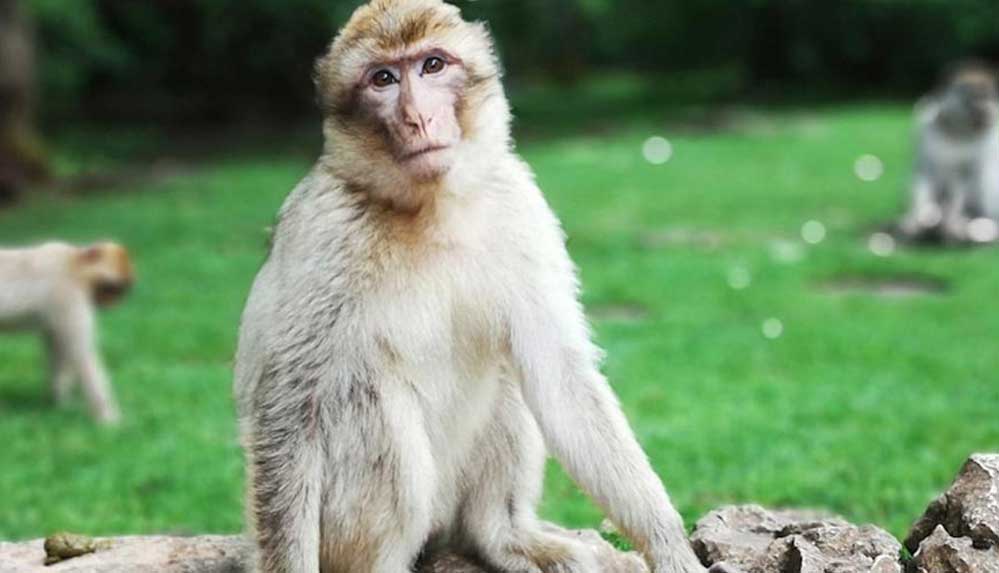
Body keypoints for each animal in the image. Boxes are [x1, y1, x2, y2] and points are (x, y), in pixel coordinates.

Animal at [0, 241, 133, 424]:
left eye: (120, 292)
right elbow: (81, 353)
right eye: (112, 289)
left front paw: (62, 404)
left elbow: (57, 346)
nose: (112, 304)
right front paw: (110, 419)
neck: (74, 263)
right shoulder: (67, 293)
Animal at [233, 1, 714, 572]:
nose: (418, 117)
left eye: (433, 65)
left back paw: (499, 534)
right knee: (370, 404)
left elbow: (560, 377)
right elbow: (290, 403)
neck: (433, 209)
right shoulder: (323, 230)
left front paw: (669, 546)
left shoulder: (518, 202)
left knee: (509, 378)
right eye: (383, 79)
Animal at [900, 62, 999, 243]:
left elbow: (964, 178)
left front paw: (952, 222)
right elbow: (924, 172)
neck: (956, 130)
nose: (986, 109)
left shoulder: (986, 140)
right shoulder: (924, 127)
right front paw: (916, 217)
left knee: (985, 174)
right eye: (975, 96)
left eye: (989, 96)